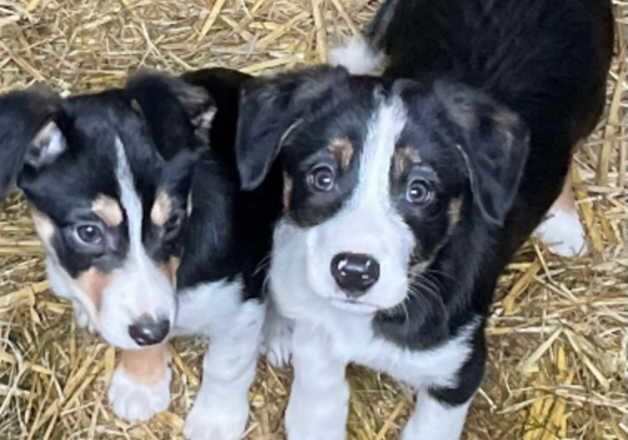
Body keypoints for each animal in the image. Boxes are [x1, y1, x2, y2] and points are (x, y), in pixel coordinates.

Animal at [0, 69, 280, 436]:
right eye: (88, 232)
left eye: (173, 220)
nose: (154, 332)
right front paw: (141, 382)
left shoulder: (243, 300)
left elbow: (226, 366)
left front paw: (215, 421)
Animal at [233, 0, 612, 440]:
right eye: (322, 177)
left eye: (419, 190)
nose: (354, 272)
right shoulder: (320, 345)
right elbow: (315, 410)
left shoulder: (457, 371)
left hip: (592, 99)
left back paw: (563, 221)